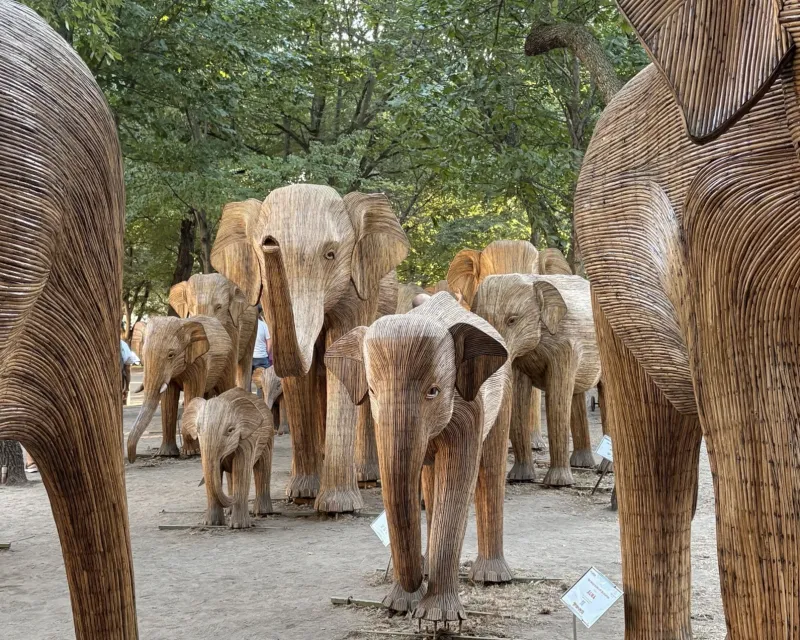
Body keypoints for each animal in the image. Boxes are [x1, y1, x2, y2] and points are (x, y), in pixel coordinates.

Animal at [127, 316, 236, 462]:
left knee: (225, 388)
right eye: (143, 354)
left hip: (228, 360)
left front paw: (191, 452)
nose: (132, 459)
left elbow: (191, 394)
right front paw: (166, 454)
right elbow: (168, 401)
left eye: (171, 355)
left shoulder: (198, 363)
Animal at [182, 389, 274, 529]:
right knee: (231, 475)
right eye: (198, 429)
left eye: (230, 430)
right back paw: (230, 510)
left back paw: (262, 513)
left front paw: (238, 526)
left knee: (262, 467)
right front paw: (210, 524)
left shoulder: (247, 440)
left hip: (268, 436)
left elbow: (241, 471)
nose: (232, 497)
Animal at [211, 185, 409, 512]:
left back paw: (367, 478)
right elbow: (299, 379)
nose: (269, 242)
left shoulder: (358, 288)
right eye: (260, 253)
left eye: (331, 254)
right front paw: (302, 494)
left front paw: (337, 507)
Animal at [326, 292, 513, 622]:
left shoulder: (469, 408)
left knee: (490, 466)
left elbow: (457, 483)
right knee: (429, 477)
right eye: (371, 390)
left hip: (505, 391)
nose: (414, 585)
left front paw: (438, 619)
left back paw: (491, 578)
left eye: (434, 391)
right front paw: (400, 605)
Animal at [472, 274, 601, 486]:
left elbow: (556, 399)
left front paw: (557, 483)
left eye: (512, 320)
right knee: (577, 396)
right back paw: (582, 464)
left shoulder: (565, 344)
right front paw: (521, 478)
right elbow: (518, 400)